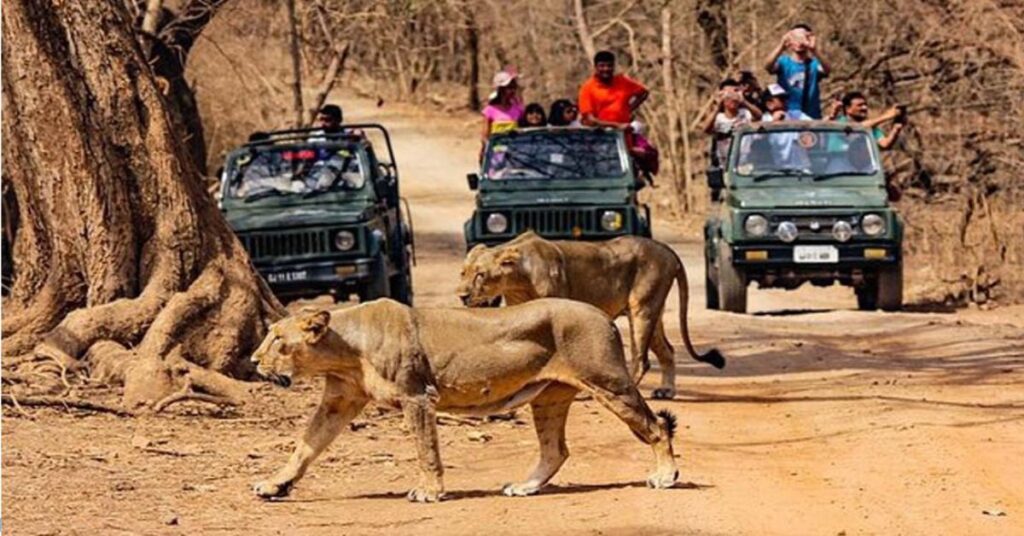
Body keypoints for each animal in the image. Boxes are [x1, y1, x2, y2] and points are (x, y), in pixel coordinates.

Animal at [247, 297, 679, 504]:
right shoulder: (339, 400)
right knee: (555, 449)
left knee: (656, 426)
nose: (252, 360)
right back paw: (524, 487)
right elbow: (305, 446)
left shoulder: (417, 395)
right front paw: (274, 485)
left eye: (277, 340)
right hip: (549, 398)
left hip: (609, 382)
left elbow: (426, 450)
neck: (344, 349)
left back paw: (665, 476)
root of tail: (605, 317)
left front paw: (429, 492)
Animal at [456, 232, 729, 399]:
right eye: (463, 272)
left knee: (641, 359)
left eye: (480, 275)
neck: (517, 281)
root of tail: (668, 250)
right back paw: (666, 390)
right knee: (667, 351)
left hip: (642, 308)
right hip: (654, 310)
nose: (461, 295)